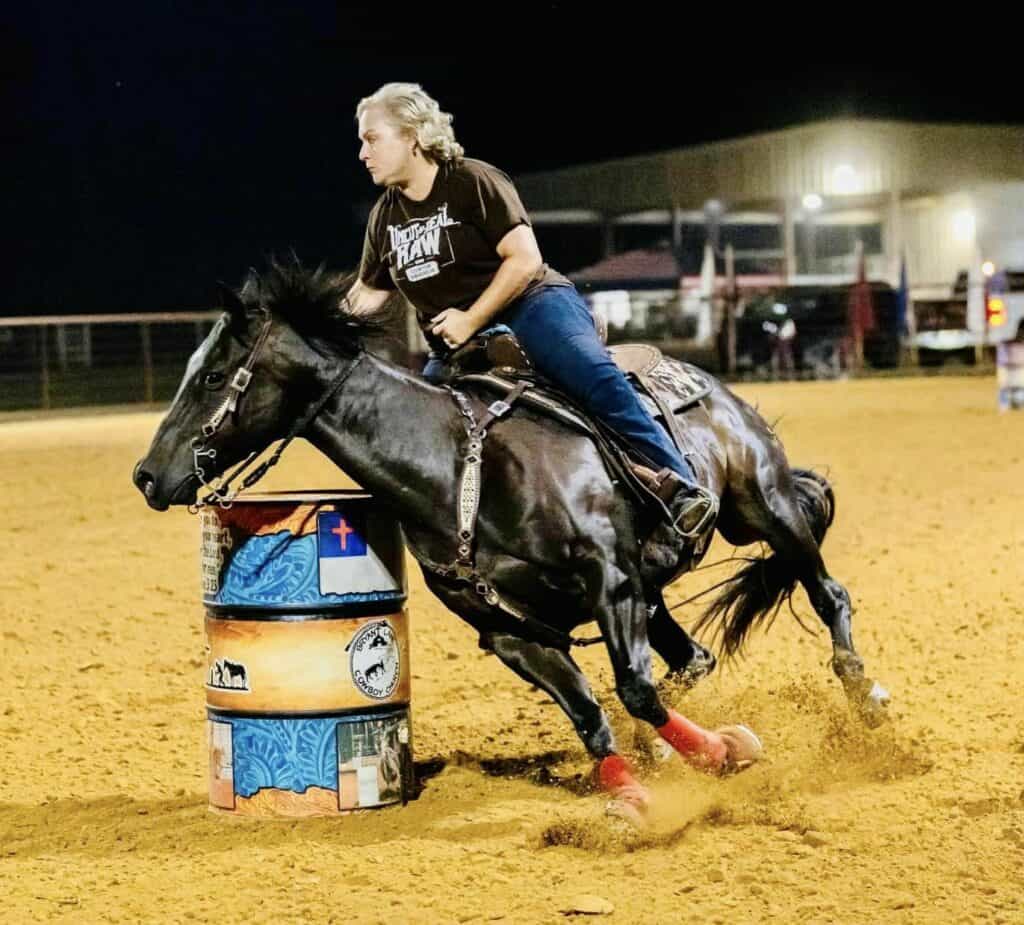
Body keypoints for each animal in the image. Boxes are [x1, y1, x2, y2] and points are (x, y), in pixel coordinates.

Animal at [134, 260, 888, 823]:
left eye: (211, 376)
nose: (146, 474)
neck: (461, 469)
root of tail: (709, 381)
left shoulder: (611, 583)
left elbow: (635, 690)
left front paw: (724, 754)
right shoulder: (512, 632)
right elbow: (590, 713)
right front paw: (636, 795)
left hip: (765, 508)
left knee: (827, 592)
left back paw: (866, 697)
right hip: (657, 586)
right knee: (692, 659)